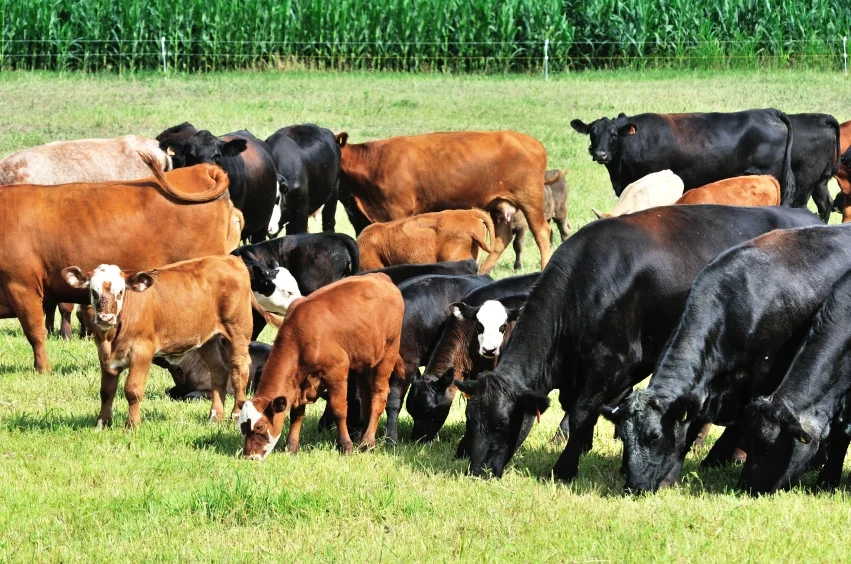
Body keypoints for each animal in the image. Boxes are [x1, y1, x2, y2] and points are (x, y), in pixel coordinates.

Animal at [61, 256, 278, 427]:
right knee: (219, 372)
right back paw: (215, 416)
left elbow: (133, 390)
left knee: (238, 369)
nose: (105, 318)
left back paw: (235, 414)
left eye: (120, 292)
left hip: (238, 331)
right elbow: (106, 391)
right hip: (209, 340)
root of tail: (230, 259)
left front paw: (132, 425)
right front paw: (102, 424)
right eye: (93, 291)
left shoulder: (142, 352)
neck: (111, 338)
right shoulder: (105, 357)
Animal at [238, 274, 404, 459]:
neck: (300, 335)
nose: (250, 457)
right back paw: (365, 437)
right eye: (242, 428)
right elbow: (296, 413)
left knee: (378, 396)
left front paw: (346, 446)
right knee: (367, 397)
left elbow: (339, 410)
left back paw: (367, 442)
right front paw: (291, 447)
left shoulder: (337, 370)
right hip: (364, 363)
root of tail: (381, 277)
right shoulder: (300, 381)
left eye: (259, 426)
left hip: (387, 354)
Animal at [452, 206, 821, 481]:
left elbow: (583, 411)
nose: (477, 471)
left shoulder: (611, 363)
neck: (587, 283)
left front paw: (565, 467)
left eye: (501, 423)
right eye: (470, 418)